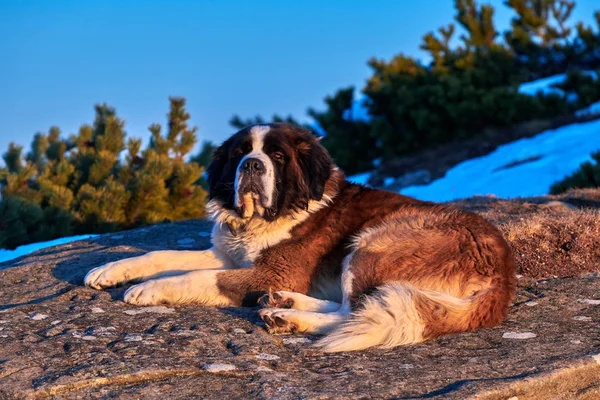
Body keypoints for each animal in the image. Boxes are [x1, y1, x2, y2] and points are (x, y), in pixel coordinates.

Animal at [83, 123, 516, 352]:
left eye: (276, 157)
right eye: (240, 153)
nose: (251, 165)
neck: (270, 216)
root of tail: (503, 274)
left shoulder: (269, 271)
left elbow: (193, 277)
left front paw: (149, 290)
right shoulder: (229, 255)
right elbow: (160, 254)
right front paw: (110, 269)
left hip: (373, 242)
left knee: (353, 312)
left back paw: (287, 316)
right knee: (350, 306)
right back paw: (285, 304)